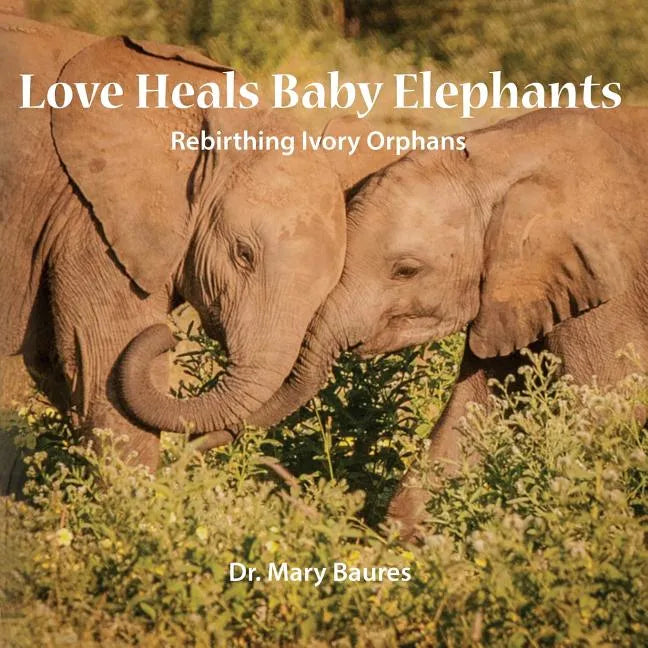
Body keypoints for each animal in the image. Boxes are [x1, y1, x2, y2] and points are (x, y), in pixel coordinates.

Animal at [166, 107, 646, 537]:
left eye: (406, 271)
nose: (189, 456)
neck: (500, 158)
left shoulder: (609, 287)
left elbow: (602, 408)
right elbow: (476, 409)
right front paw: (407, 547)